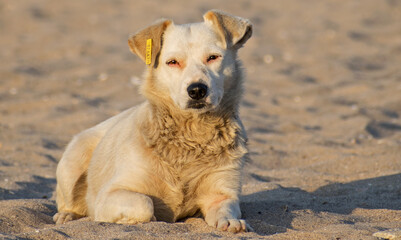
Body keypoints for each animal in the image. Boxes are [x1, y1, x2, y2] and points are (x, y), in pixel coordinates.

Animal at [53, 9, 252, 232]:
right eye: (172, 62)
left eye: (213, 58)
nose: (197, 90)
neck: (191, 135)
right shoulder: (109, 195)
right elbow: (144, 204)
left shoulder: (222, 191)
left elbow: (225, 208)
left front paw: (232, 223)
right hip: (72, 164)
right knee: (68, 200)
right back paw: (67, 215)